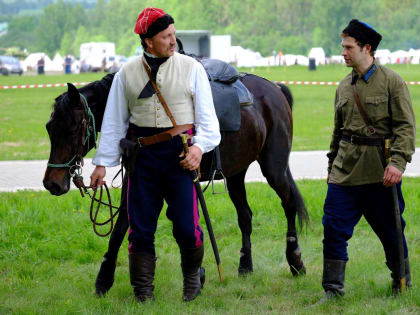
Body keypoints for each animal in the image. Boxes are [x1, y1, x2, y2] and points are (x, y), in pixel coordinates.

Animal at [43, 69, 308, 296]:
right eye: (49, 127)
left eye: (72, 129)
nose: (51, 183)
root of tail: (274, 89)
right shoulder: (137, 181)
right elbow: (120, 229)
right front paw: (103, 281)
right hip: (236, 174)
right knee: (245, 216)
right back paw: (245, 266)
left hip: (274, 168)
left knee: (288, 204)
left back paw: (296, 260)